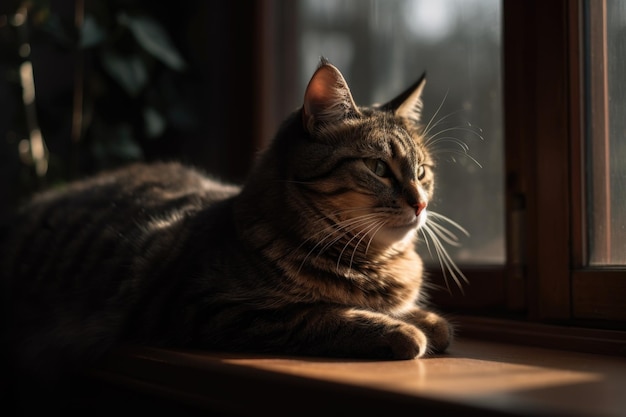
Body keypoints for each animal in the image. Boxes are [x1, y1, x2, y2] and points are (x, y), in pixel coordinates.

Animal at [0, 58, 460, 386]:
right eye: (378, 168)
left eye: (422, 172)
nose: (420, 204)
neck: (372, 263)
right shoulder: (210, 308)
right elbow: (323, 315)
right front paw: (401, 330)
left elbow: (428, 321)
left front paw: (424, 320)